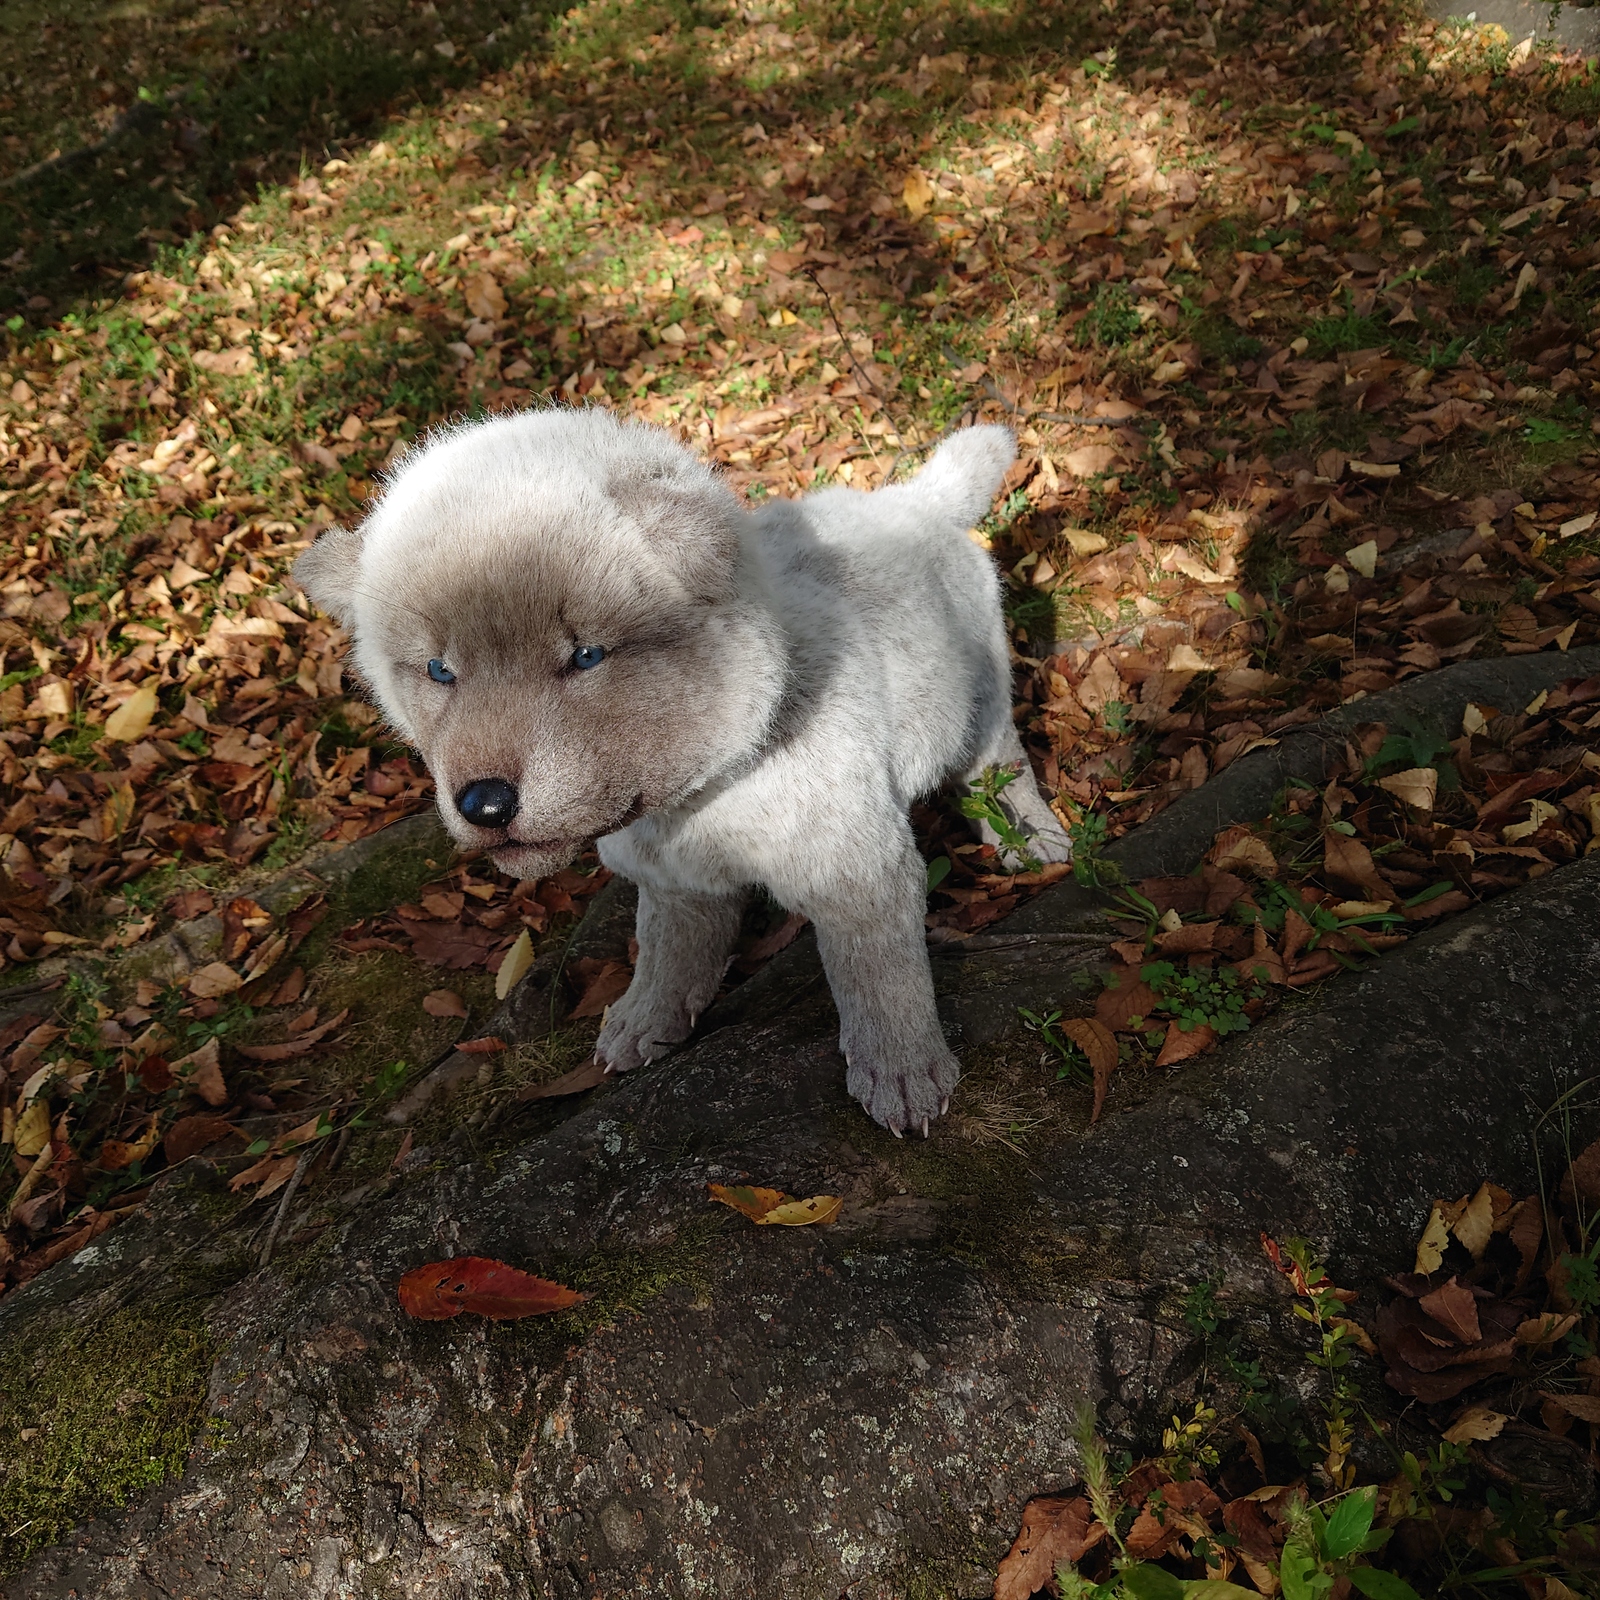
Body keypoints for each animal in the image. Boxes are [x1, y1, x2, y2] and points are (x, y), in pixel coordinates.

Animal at [295, 407, 1070, 1134]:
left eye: (585, 656)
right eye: (438, 671)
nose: (484, 803)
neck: (697, 800)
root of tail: (915, 498)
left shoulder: (859, 870)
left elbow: (881, 979)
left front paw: (905, 1075)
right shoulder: (673, 885)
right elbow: (666, 957)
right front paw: (640, 1023)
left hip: (981, 692)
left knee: (1000, 762)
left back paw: (1032, 839)